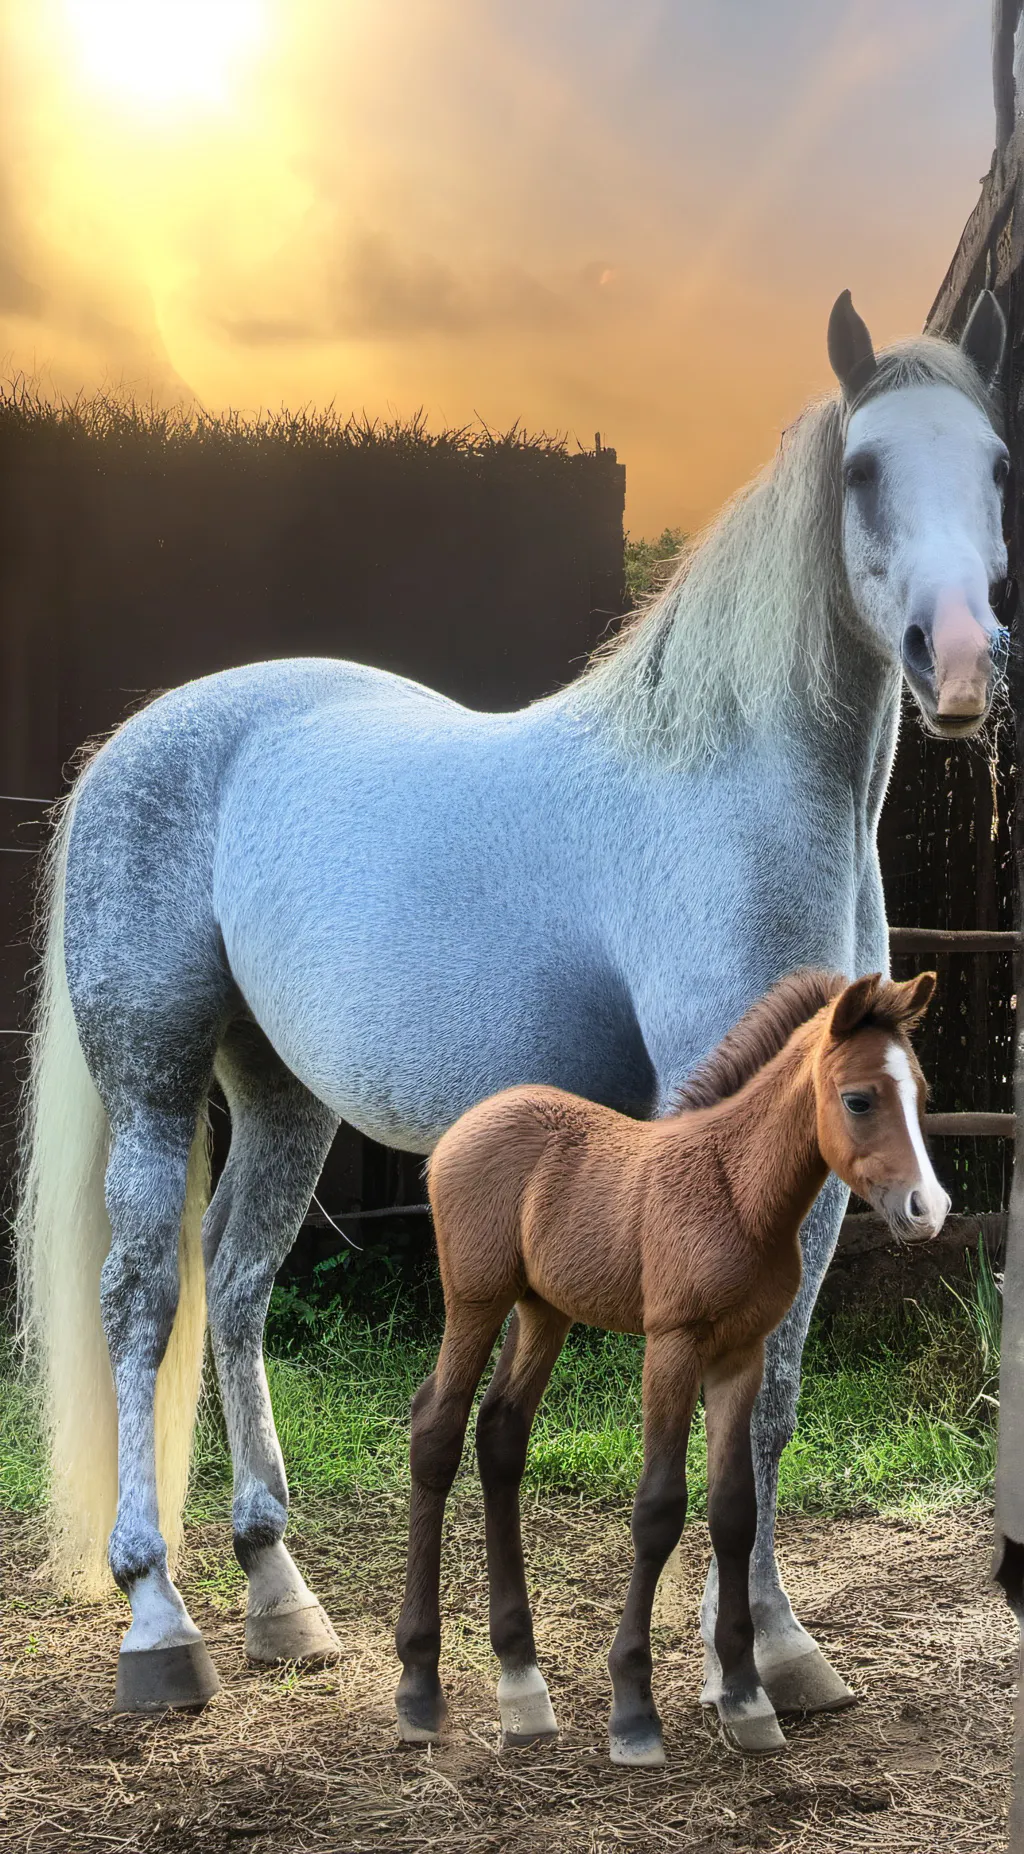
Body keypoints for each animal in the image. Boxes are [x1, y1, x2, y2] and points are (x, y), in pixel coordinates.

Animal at [395, 967, 946, 1765]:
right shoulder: (672, 1344)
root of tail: (461, 1130)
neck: (736, 1191)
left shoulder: (740, 1355)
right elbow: (659, 1508)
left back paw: (522, 1683)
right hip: (476, 1296)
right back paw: (418, 1687)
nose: (928, 1209)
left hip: (544, 1308)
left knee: (500, 1434)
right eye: (859, 1099)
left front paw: (747, 1695)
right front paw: (634, 1710)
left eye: (923, 1095)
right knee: (436, 1428)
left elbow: (735, 1511)